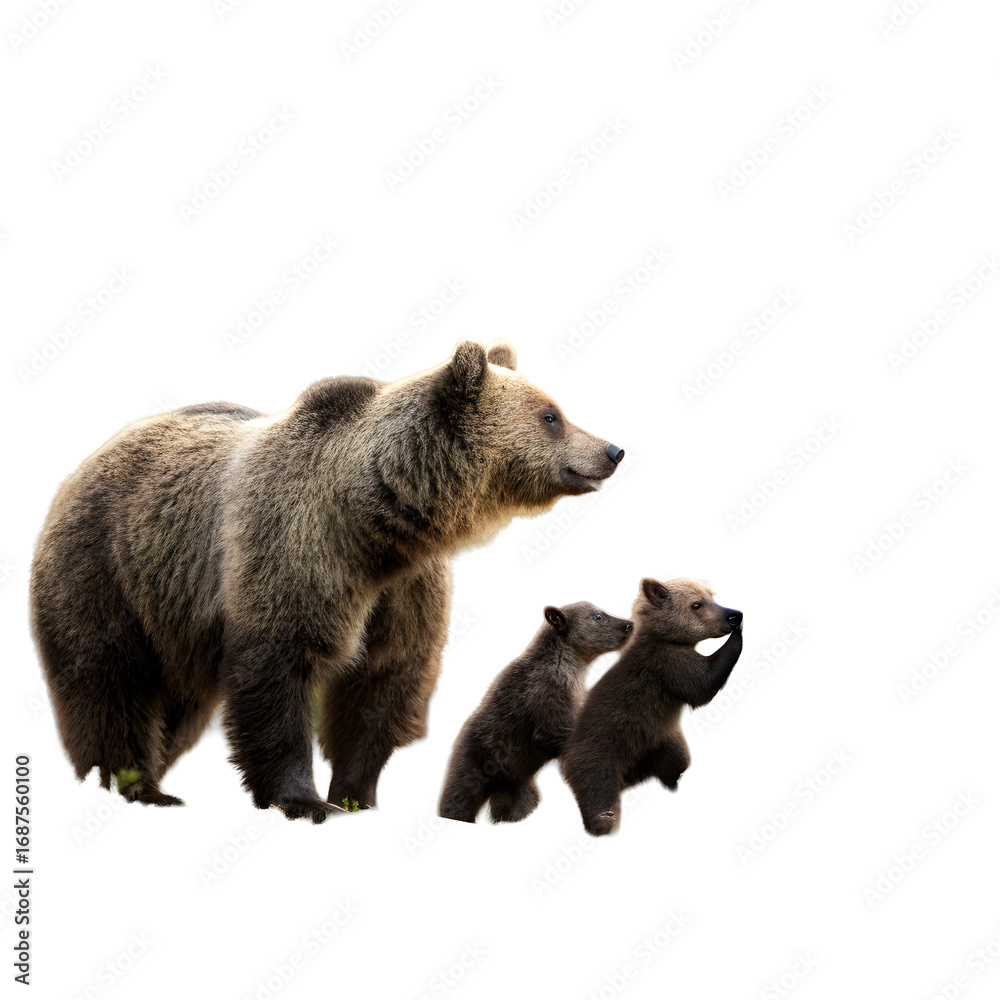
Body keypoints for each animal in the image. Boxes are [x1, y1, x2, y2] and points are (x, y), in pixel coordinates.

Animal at [438, 602, 633, 824]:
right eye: (597, 616)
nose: (628, 625)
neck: (569, 666)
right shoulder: (546, 697)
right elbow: (552, 733)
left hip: (515, 785)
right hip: (473, 764)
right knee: (459, 799)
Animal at [559, 577, 743, 836]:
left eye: (712, 597)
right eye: (697, 604)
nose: (734, 615)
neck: (663, 637)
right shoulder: (669, 664)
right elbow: (702, 684)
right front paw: (737, 636)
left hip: (660, 742)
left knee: (677, 762)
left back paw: (672, 782)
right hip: (599, 754)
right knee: (598, 789)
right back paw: (603, 821)